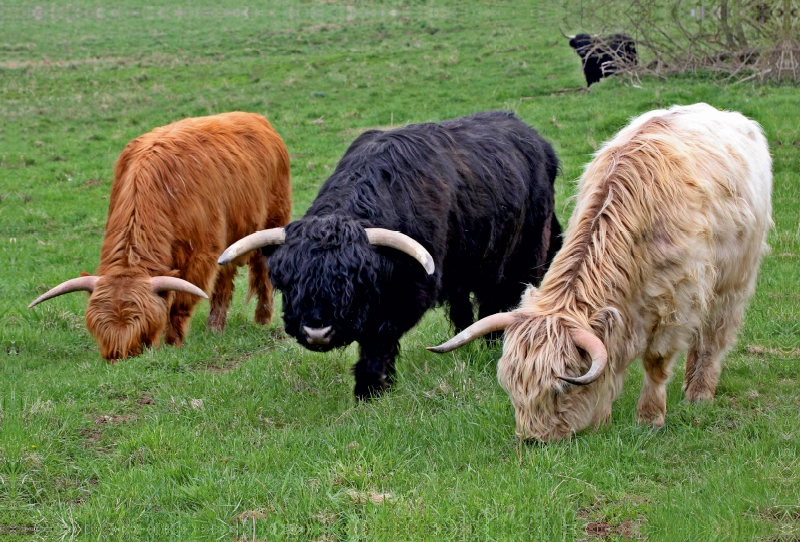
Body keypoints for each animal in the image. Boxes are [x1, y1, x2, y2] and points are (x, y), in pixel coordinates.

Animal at [28, 111, 290, 362]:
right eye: (98, 329)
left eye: (143, 328)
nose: (120, 358)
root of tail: (256, 118)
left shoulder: (201, 254)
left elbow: (182, 299)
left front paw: (173, 342)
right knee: (225, 281)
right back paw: (215, 327)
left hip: (272, 221)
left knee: (261, 272)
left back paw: (262, 319)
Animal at [216, 110, 560, 400]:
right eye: (291, 283)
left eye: (351, 284)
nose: (317, 331)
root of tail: (531, 134)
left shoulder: (412, 291)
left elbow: (378, 339)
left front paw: (369, 389)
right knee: (467, 303)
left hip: (526, 251)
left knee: (501, 297)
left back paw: (492, 344)